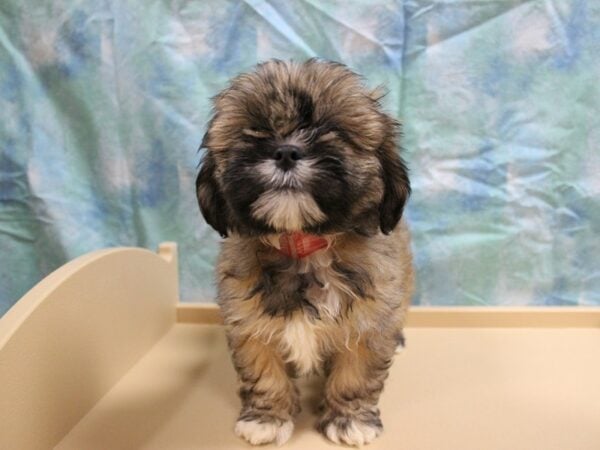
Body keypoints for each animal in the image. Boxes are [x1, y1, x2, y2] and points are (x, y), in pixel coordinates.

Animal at [196, 59, 412, 446]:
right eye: (254, 131)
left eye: (332, 131)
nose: (285, 151)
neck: (301, 242)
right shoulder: (249, 323)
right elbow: (264, 372)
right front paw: (266, 418)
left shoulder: (369, 321)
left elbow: (356, 374)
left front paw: (350, 420)